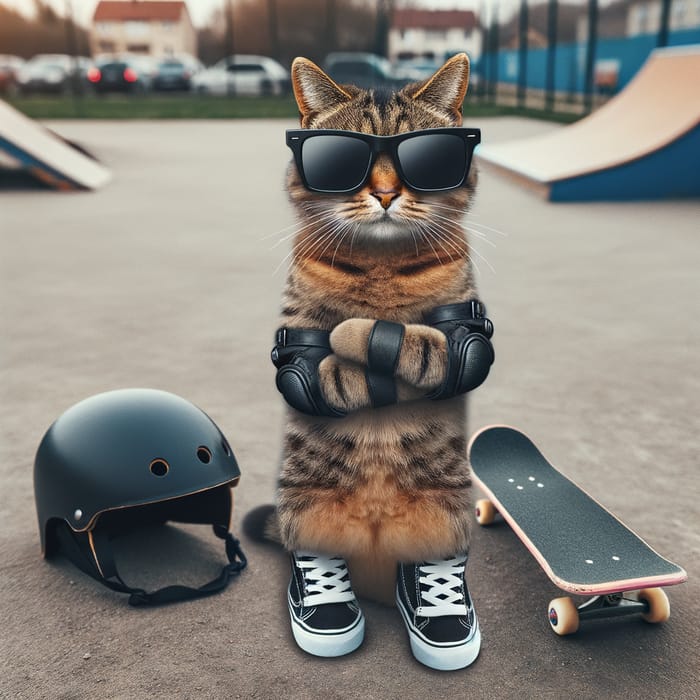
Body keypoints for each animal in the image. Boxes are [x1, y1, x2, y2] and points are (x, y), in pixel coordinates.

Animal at [250, 53, 486, 668]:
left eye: (424, 156)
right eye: (343, 159)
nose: (383, 192)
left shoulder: (465, 330)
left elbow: (431, 345)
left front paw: (365, 335)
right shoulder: (296, 338)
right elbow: (310, 367)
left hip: (448, 505)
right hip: (305, 502)